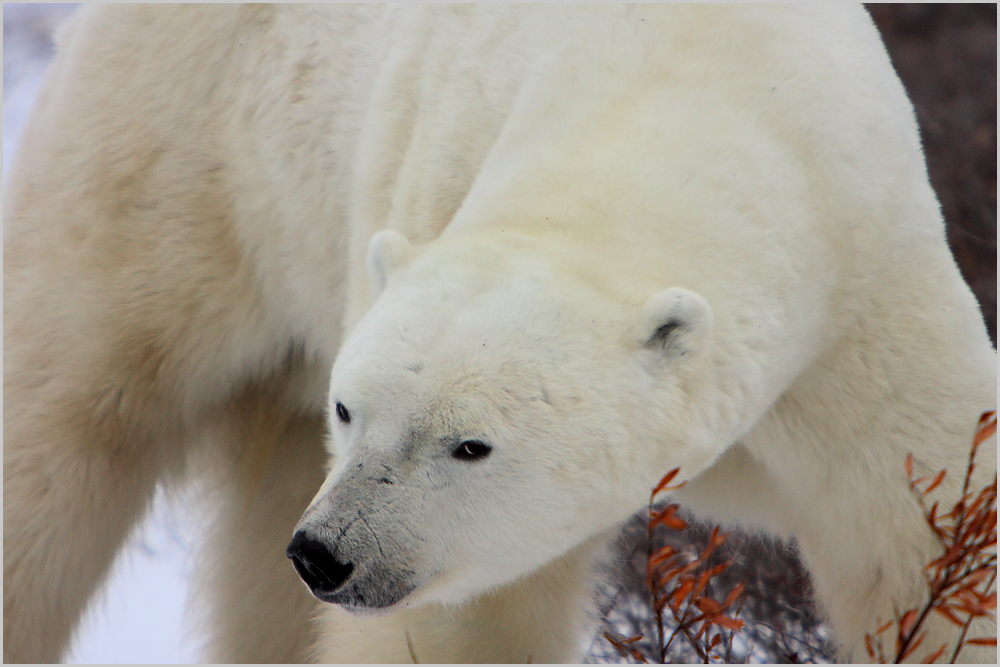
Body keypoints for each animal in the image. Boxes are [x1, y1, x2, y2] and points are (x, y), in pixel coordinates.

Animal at [3, 2, 996, 664]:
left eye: (470, 443)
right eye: (350, 409)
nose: (327, 554)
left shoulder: (863, 310)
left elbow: (925, 550)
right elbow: (467, 620)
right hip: (180, 162)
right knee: (66, 427)